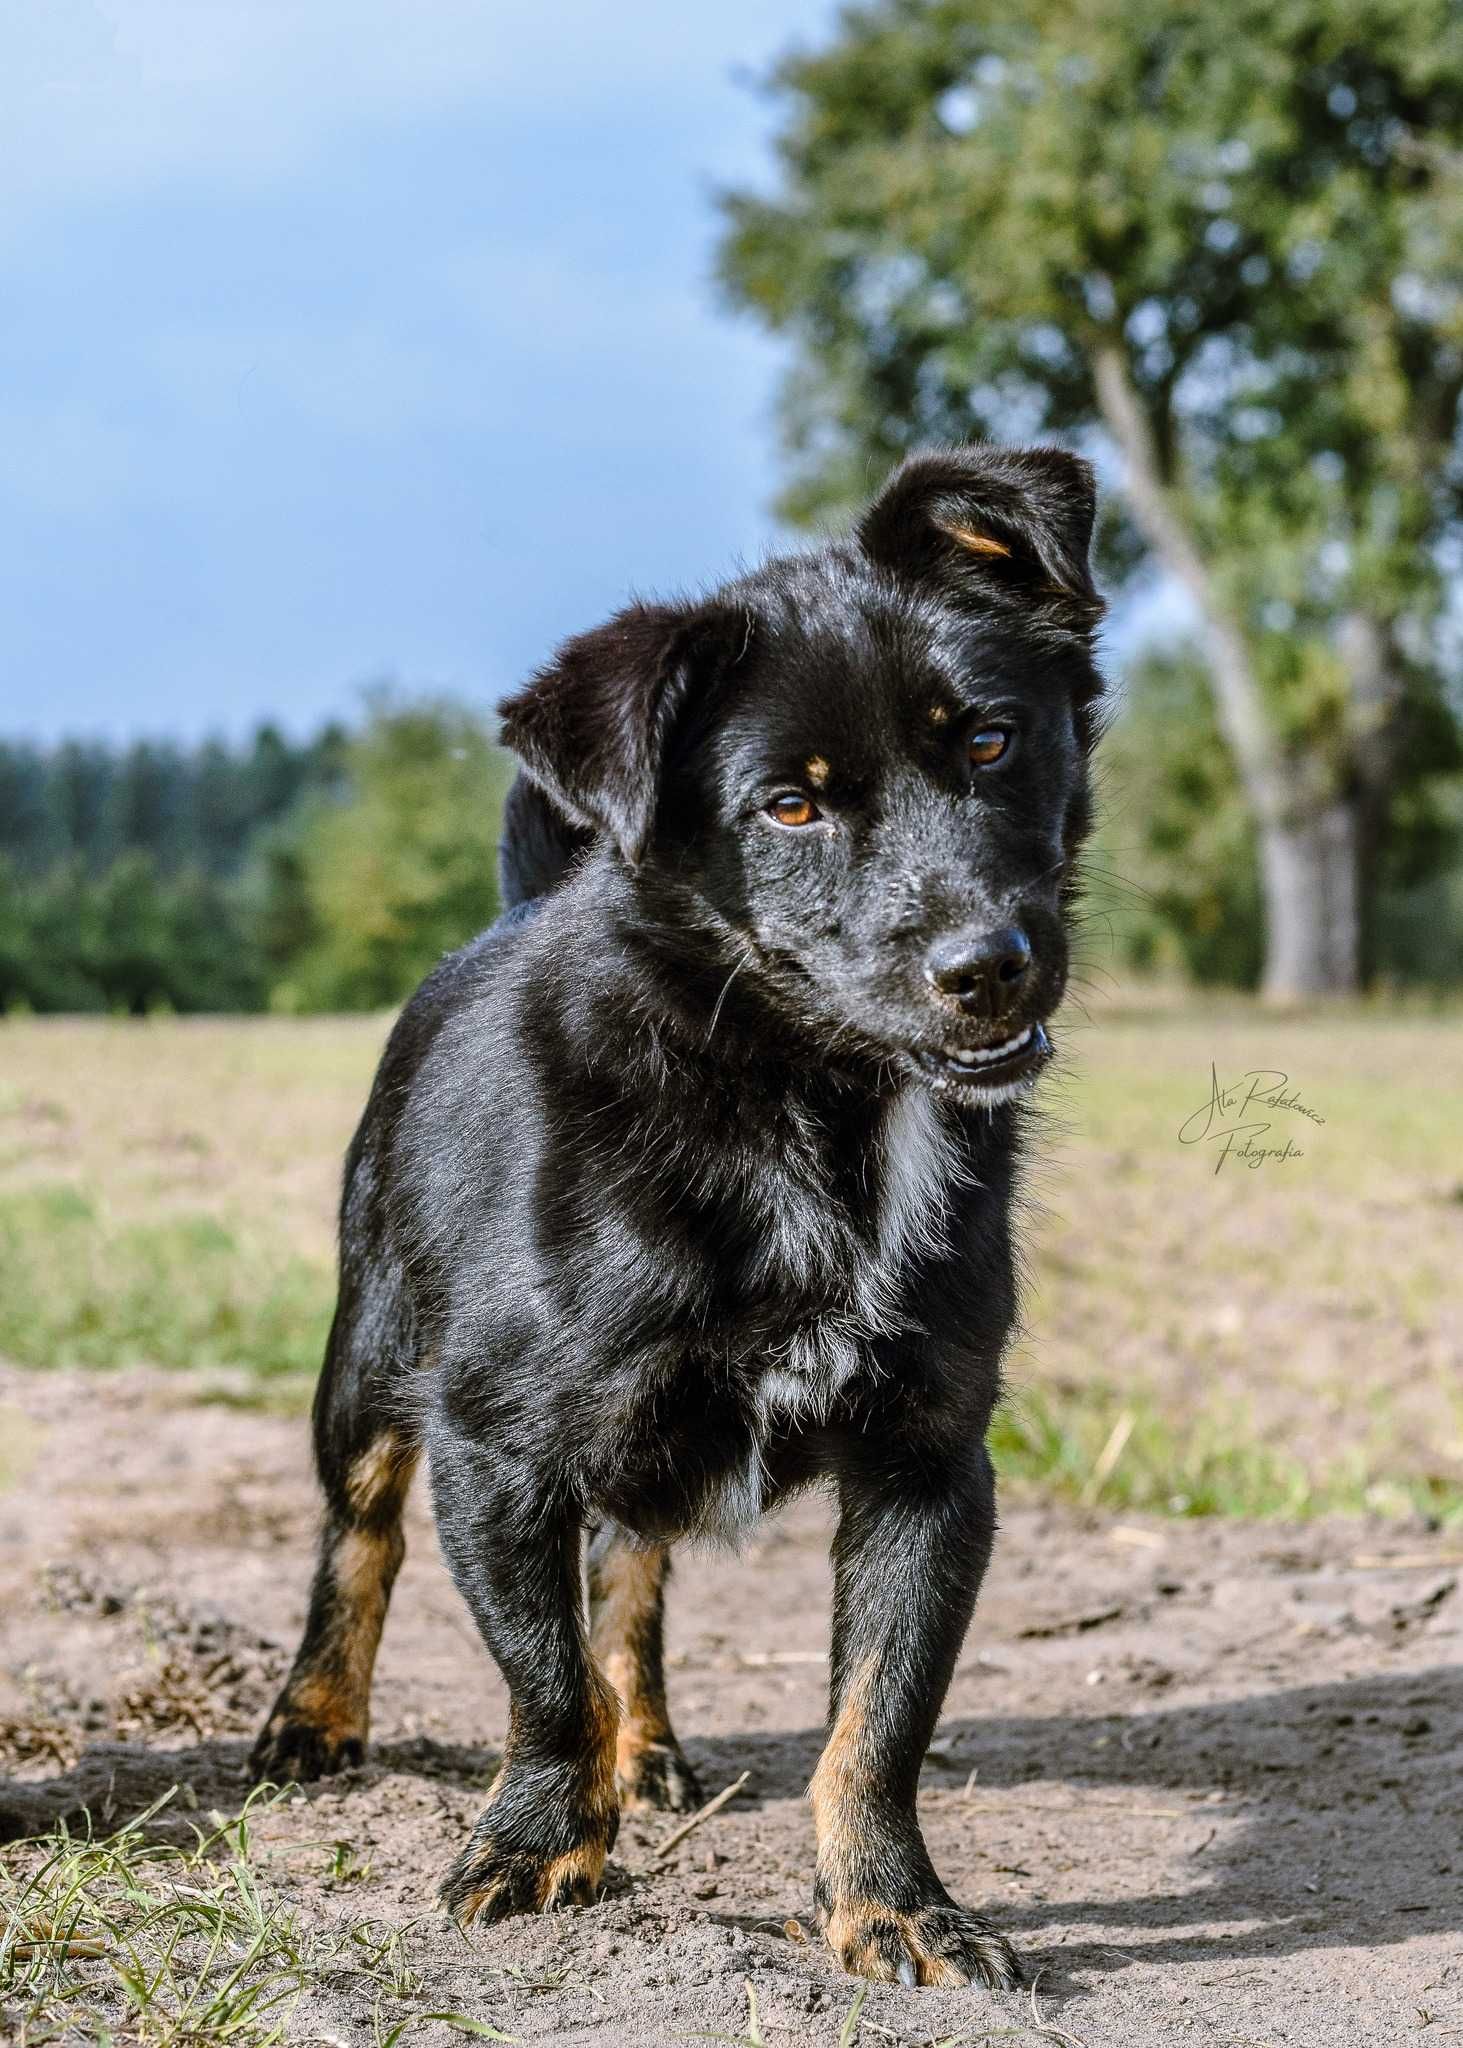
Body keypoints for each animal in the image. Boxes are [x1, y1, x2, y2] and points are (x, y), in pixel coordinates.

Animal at [254, 444, 1098, 1982]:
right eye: (788, 806)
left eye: (989, 742)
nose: (985, 967)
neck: (804, 1104)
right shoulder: (494, 1447)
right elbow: (538, 1681)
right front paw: (536, 1843)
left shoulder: (929, 1464)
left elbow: (876, 1720)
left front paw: (891, 1902)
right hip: (369, 1352)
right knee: (362, 1535)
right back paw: (316, 1718)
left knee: (629, 1573)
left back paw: (642, 1748)